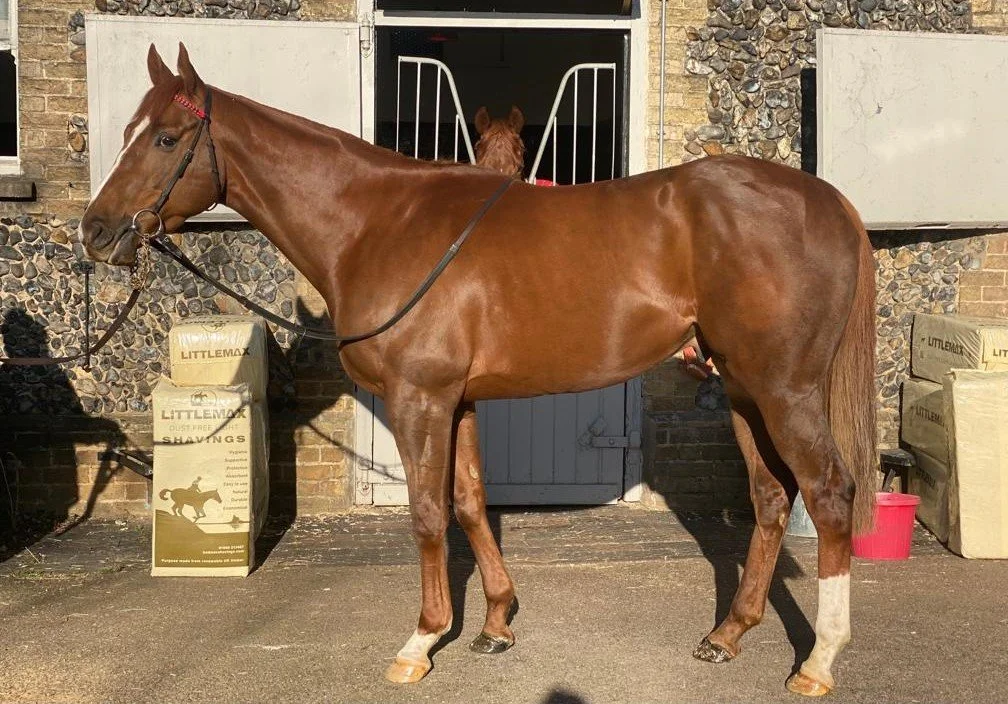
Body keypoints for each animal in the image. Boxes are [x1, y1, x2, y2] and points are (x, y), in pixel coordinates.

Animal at [80, 44, 877, 698]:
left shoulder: (419, 399)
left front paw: (421, 641)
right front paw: (495, 623)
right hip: (744, 387)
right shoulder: (456, 400)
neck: (379, 223)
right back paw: (727, 635)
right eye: (126, 134)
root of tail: (830, 201)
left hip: (784, 390)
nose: (96, 231)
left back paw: (819, 661)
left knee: (829, 494)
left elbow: (429, 514)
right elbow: (468, 502)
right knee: (771, 498)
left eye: (165, 137)